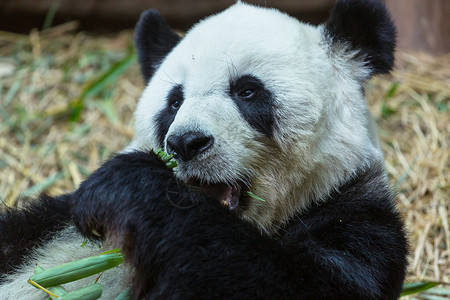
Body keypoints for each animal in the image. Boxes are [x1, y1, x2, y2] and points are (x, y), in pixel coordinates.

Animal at [0, 1, 408, 298]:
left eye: (247, 91)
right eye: (175, 101)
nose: (185, 143)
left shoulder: (355, 218)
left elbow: (293, 284)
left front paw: (125, 189)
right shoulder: (53, 220)